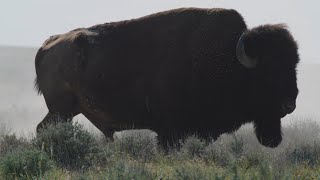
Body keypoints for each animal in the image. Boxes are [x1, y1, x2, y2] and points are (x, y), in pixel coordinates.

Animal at [35, 7, 300, 148]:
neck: (226, 57)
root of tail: (48, 44)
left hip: (64, 112)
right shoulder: (170, 132)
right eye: (269, 71)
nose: (290, 104)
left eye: (294, 65)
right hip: (61, 111)